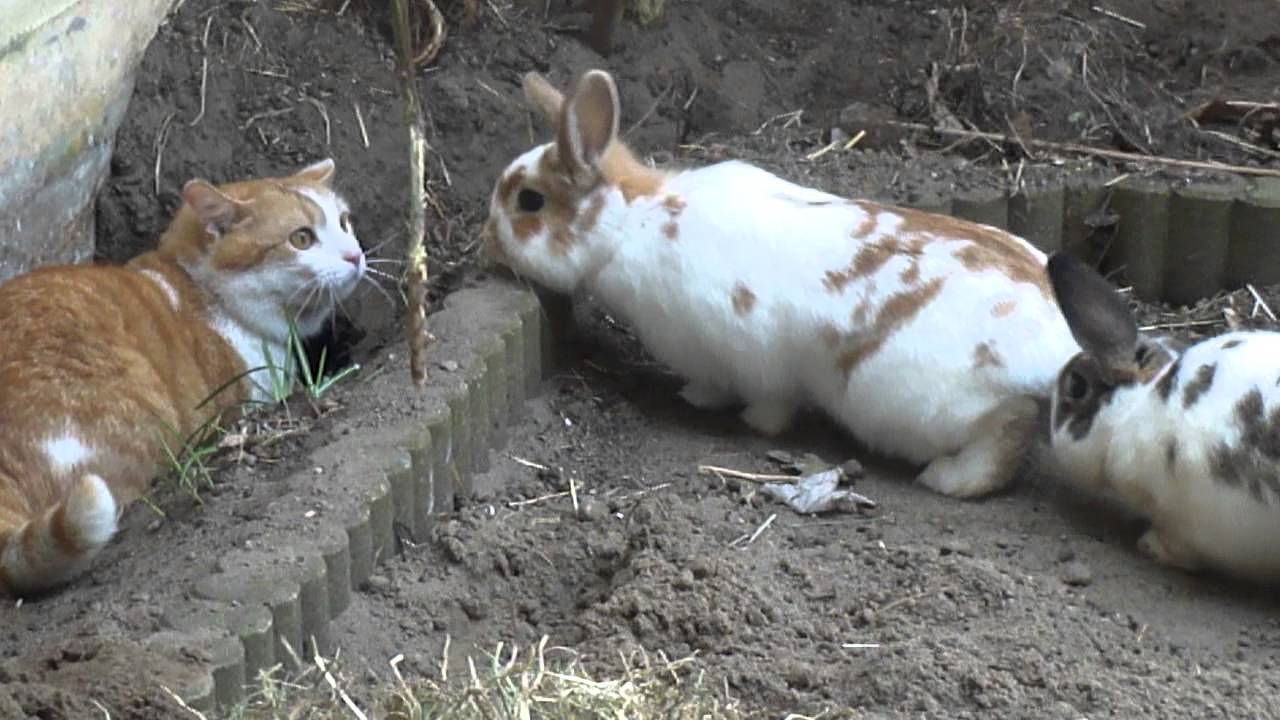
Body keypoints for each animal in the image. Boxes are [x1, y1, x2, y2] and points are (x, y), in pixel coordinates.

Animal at [483, 68, 1085, 499]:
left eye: (530, 202)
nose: (486, 240)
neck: (634, 220)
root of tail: (1058, 348)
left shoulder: (748, 358)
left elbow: (765, 404)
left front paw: (710, 404)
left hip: (929, 406)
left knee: (1006, 434)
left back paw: (946, 478)